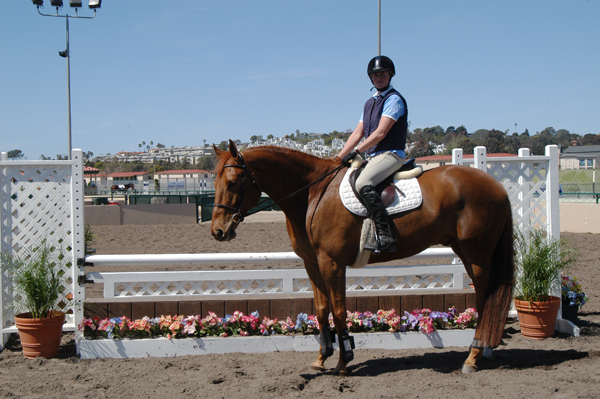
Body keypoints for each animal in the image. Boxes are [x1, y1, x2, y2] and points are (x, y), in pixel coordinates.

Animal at [209, 140, 512, 376]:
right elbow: (322, 310)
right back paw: (484, 350)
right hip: (463, 250)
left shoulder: (332, 263)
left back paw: (473, 357)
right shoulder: (312, 263)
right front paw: (321, 358)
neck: (312, 194)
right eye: (214, 182)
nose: (218, 231)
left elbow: (339, 310)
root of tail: (495, 184)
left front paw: (344, 361)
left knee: (484, 299)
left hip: (477, 253)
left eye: (233, 183)